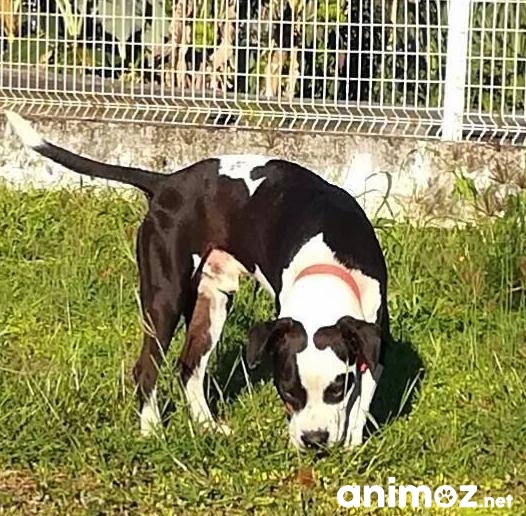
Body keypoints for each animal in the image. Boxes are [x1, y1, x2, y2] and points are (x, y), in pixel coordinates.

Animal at [6, 111, 391, 449]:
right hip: (165, 299)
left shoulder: (373, 341)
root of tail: (166, 183)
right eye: (287, 389)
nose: (314, 440)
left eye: (336, 389)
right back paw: (151, 429)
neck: (326, 264)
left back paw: (206, 425)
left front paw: (351, 445)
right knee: (146, 367)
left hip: (213, 301)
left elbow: (361, 400)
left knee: (189, 366)